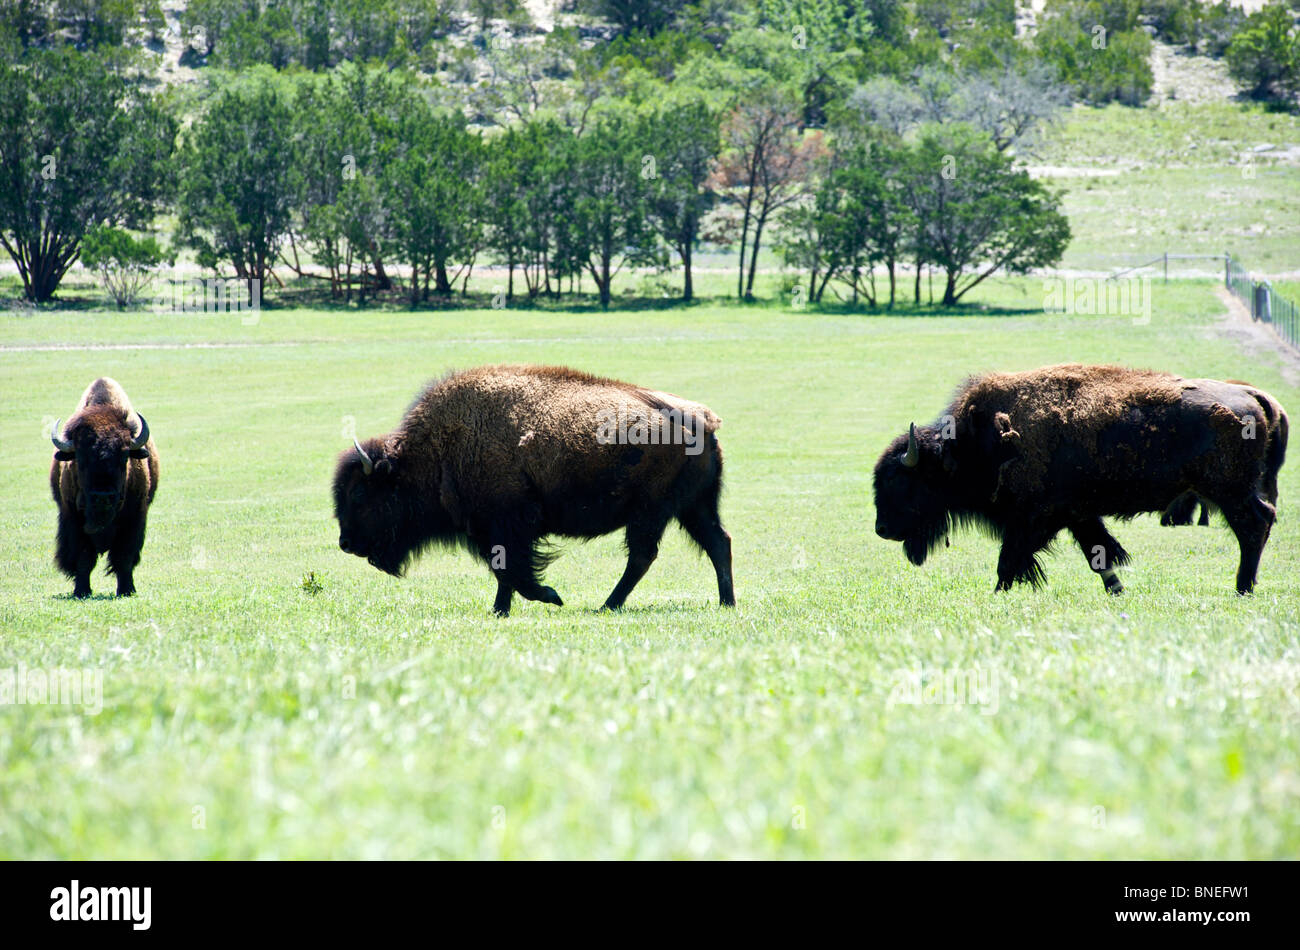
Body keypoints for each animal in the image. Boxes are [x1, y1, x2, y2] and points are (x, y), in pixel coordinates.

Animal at [49, 376, 159, 595]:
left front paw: (127, 590)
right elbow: (83, 557)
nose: (102, 496)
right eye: (80, 458)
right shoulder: (73, 519)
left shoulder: (134, 518)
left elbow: (124, 557)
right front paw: (81, 591)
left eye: (124, 457)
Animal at [335, 363, 738, 616]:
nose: (345, 543)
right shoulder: (494, 531)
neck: (436, 451)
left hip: (651, 511)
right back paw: (726, 602)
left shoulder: (506, 526)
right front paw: (499, 610)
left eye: (360, 495)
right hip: (693, 507)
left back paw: (607, 605)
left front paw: (550, 597)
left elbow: (512, 570)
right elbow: (504, 573)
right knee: (717, 542)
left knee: (643, 556)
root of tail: (700, 420)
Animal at [873, 363, 1289, 595]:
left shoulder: (1032, 519)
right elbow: (1099, 556)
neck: (974, 442)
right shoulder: (1078, 516)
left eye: (898, 480)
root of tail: (1254, 395)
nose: (882, 529)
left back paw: (1242, 588)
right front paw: (1118, 593)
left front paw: (998, 595)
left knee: (1254, 526)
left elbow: (1009, 562)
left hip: (1229, 492)